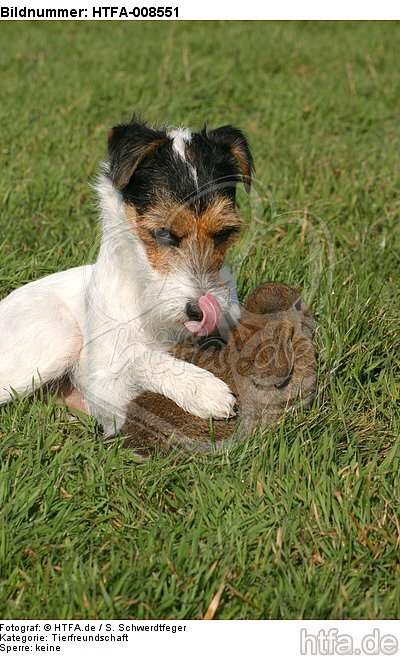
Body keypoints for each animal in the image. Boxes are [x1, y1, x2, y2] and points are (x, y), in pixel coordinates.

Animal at [0, 116, 255, 436]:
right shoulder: (103, 385)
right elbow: (141, 357)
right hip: (59, 340)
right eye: (163, 233)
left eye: (224, 233)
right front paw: (202, 389)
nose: (200, 311)